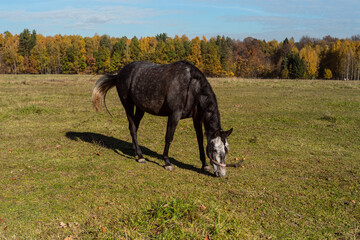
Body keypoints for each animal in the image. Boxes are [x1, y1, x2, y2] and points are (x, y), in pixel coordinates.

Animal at [92, 60, 233, 176]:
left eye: (226, 149)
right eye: (214, 149)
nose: (221, 174)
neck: (191, 85)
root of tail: (120, 73)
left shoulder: (196, 117)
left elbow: (199, 139)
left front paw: (204, 164)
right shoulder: (174, 115)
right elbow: (168, 138)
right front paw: (167, 162)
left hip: (140, 108)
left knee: (134, 127)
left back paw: (136, 153)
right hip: (128, 106)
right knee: (132, 127)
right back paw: (141, 156)